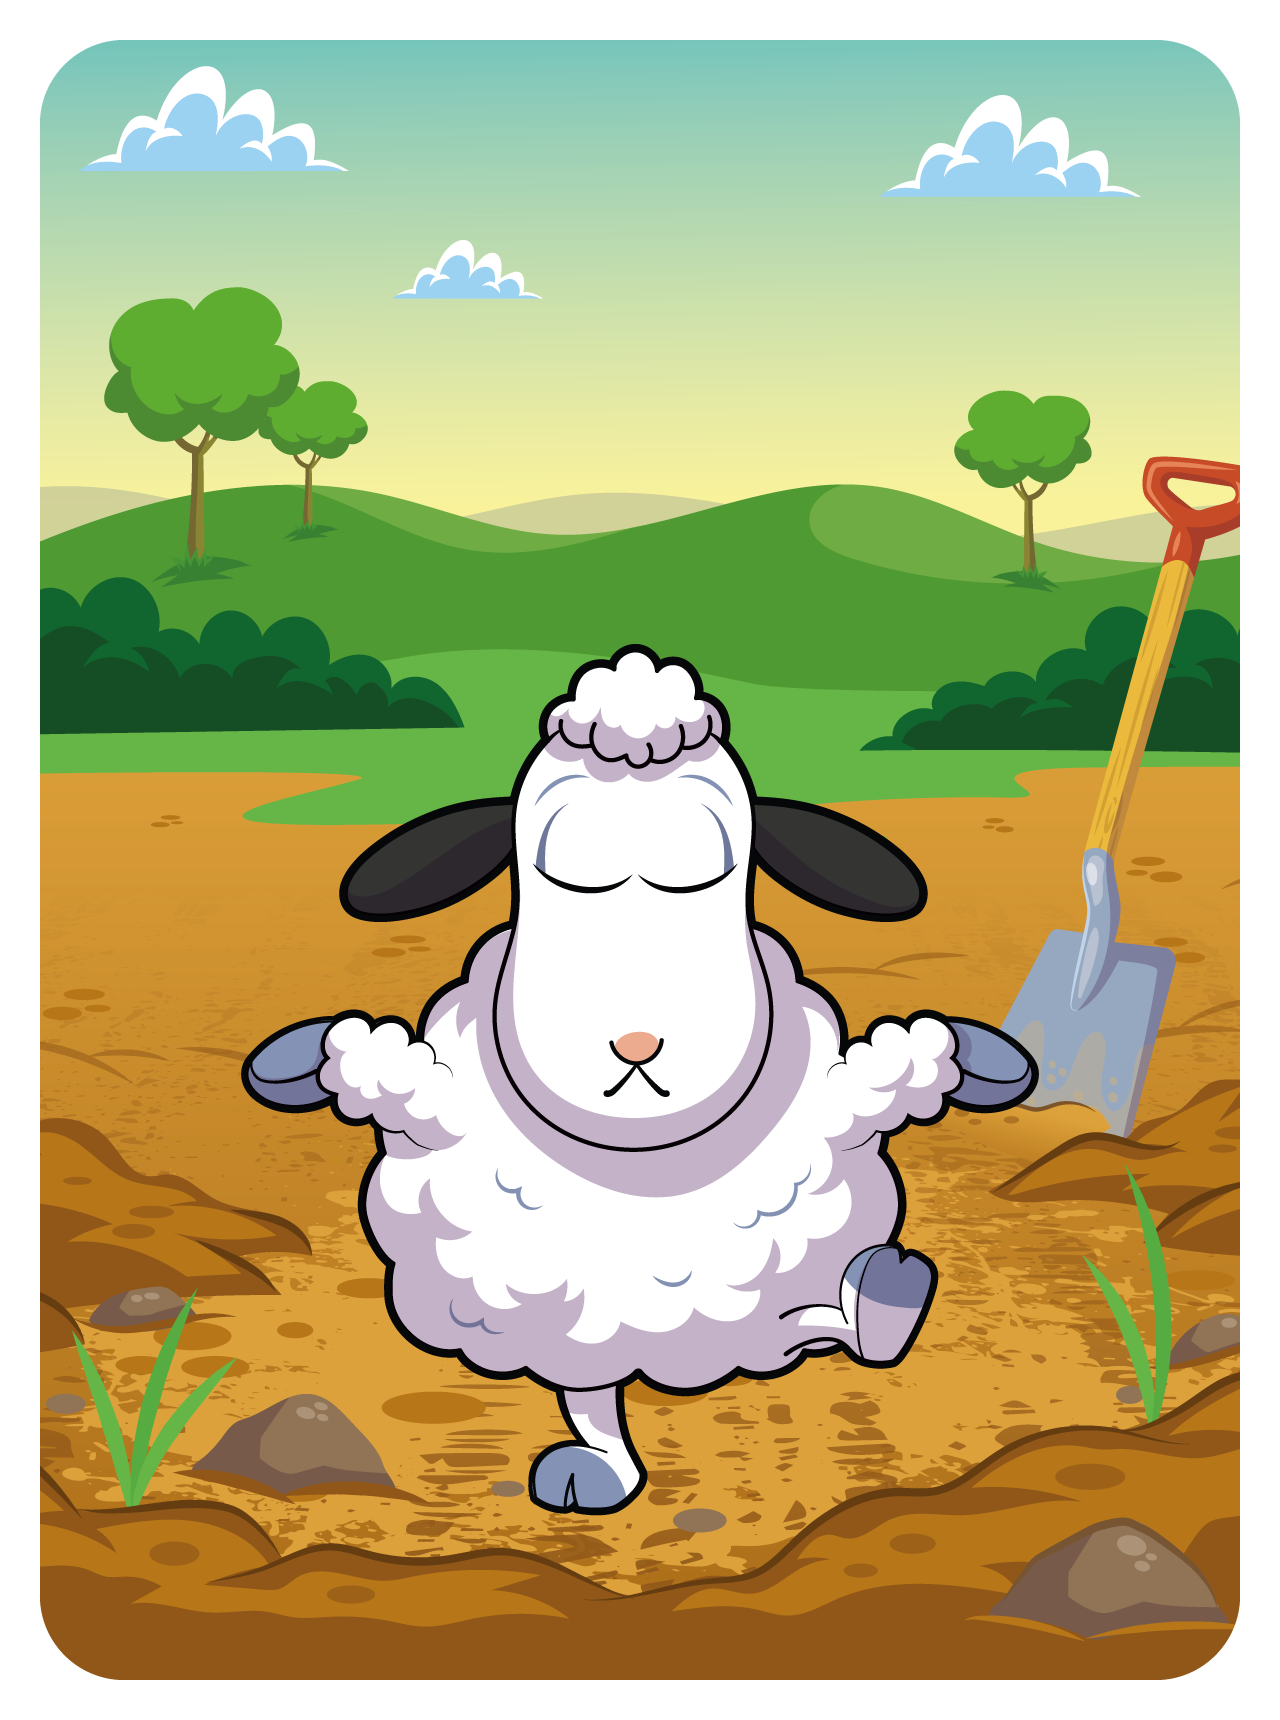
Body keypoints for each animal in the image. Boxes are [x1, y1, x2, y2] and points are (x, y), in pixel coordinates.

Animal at [243, 645, 1035, 1514]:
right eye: (571, 878)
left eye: (699, 877)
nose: (636, 1045)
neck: (639, 1150)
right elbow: (376, 1067)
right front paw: (311, 1060)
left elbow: (895, 1070)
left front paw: (971, 1061)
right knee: (599, 1393)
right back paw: (594, 1472)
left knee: (812, 1319)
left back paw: (889, 1299)